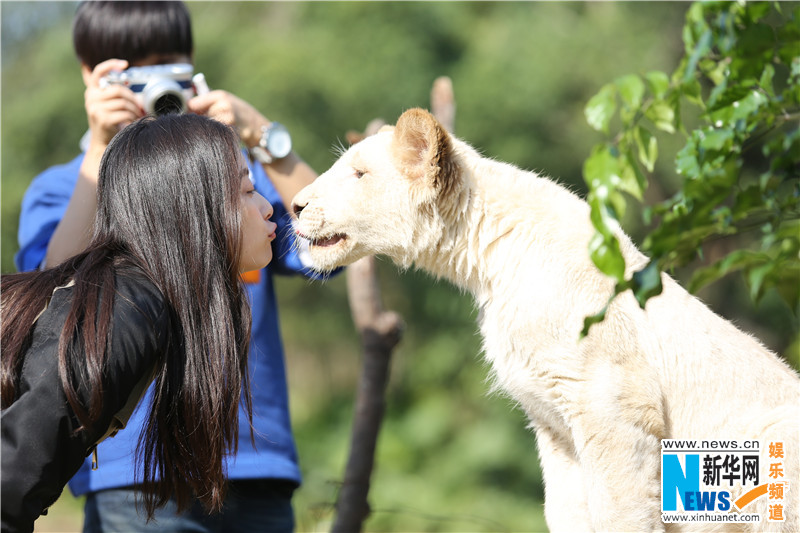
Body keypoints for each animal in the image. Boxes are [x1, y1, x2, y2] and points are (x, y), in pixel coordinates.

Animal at [294, 108, 800, 532]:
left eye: (358, 174)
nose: (296, 206)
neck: (489, 260)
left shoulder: (612, 403)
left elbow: (620, 507)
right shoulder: (554, 420)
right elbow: (566, 508)